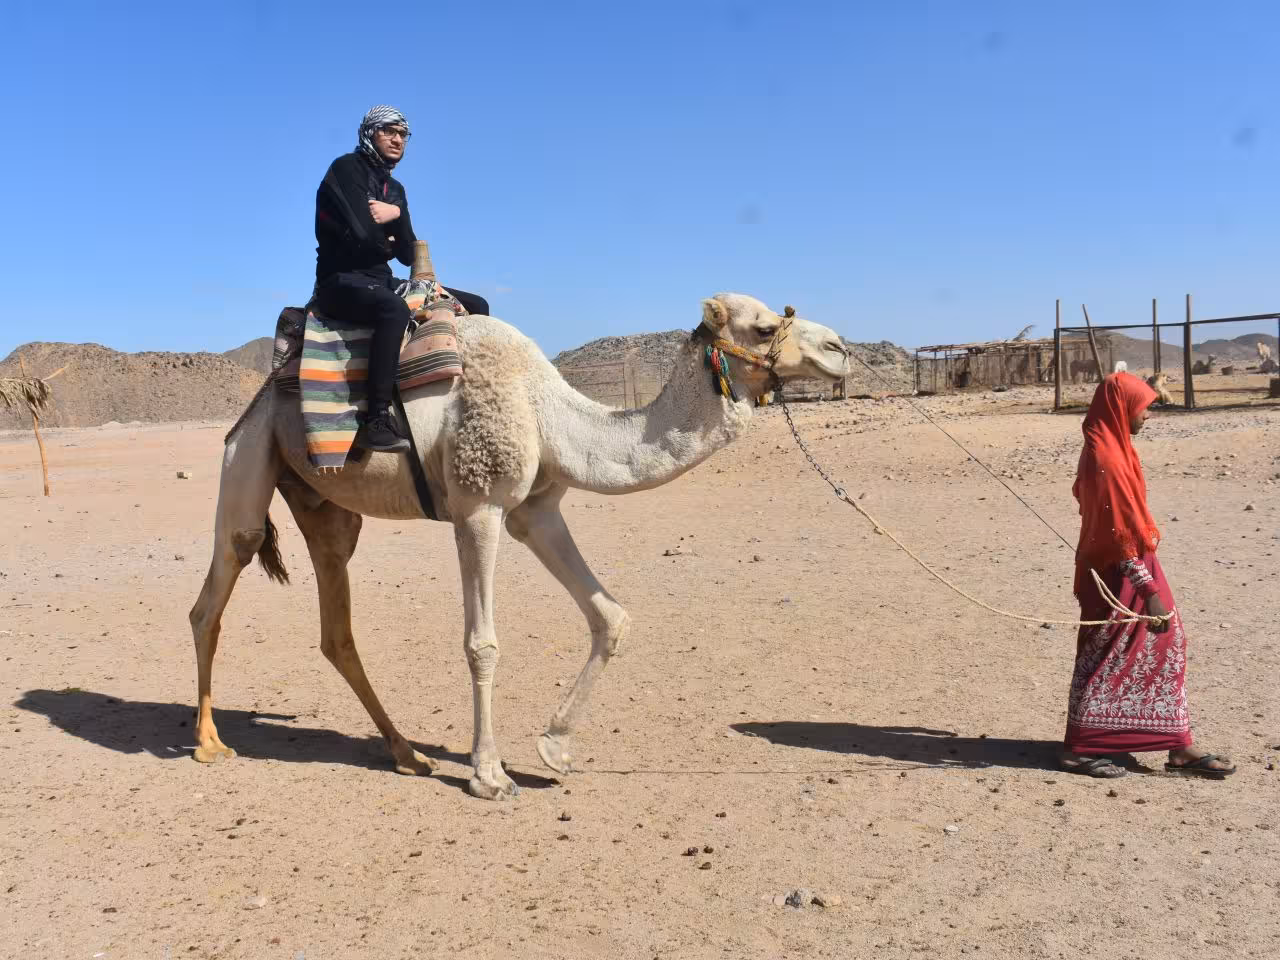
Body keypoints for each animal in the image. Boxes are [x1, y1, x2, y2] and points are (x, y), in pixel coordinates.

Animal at [189, 294, 849, 800]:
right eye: (764, 326)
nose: (840, 348)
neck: (548, 413)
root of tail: (264, 392)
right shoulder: (478, 506)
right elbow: (482, 644)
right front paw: (489, 774)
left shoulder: (537, 512)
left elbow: (610, 617)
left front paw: (555, 749)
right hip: (250, 454)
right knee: (215, 592)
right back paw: (208, 743)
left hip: (326, 508)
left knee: (335, 628)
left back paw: (407, 754)